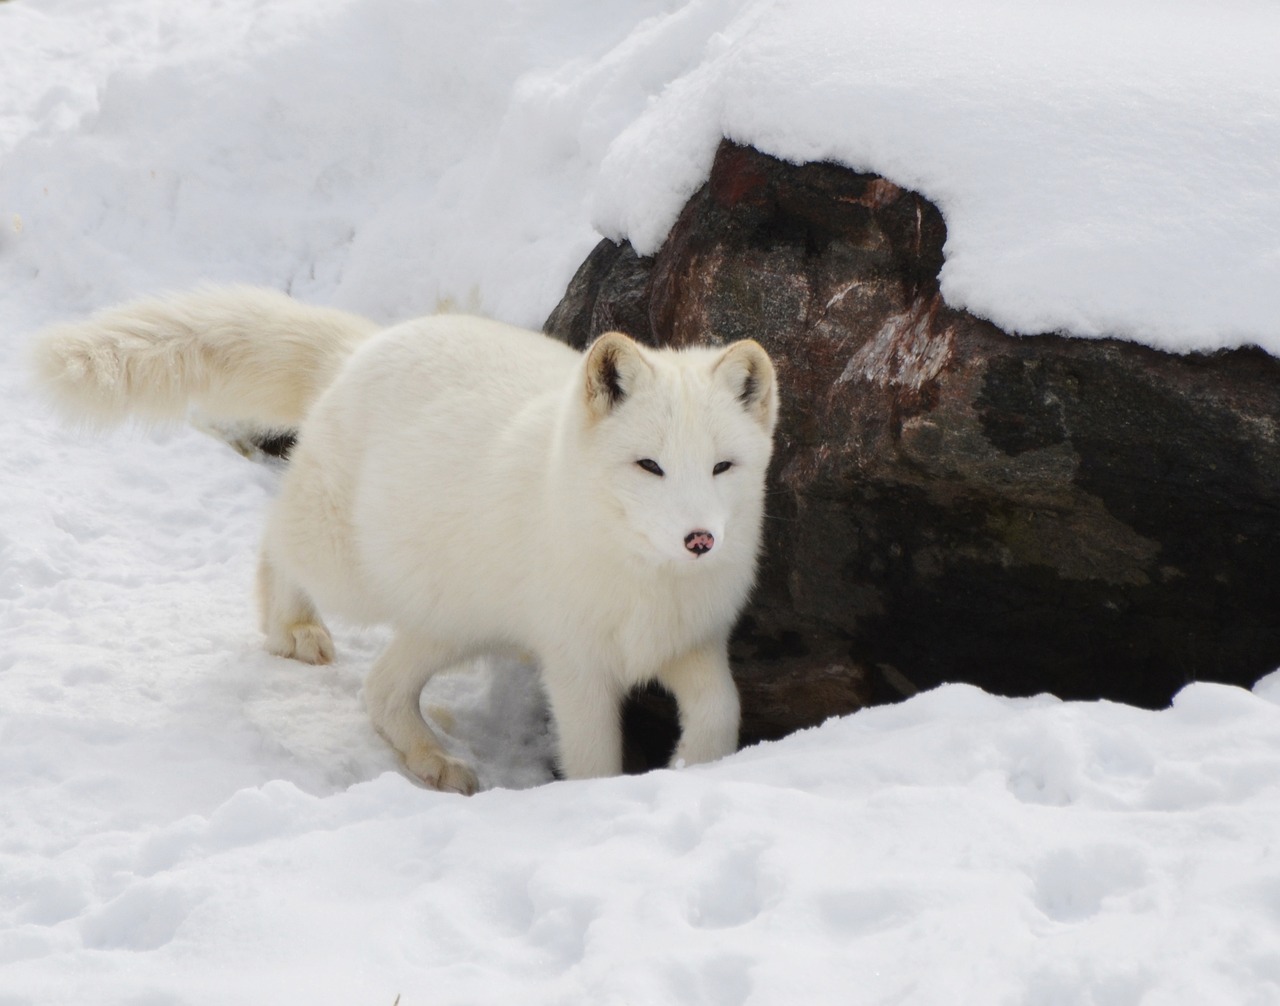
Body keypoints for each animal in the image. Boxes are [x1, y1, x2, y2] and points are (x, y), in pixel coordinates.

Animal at [31, 285, 779, 794]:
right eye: (649, 466)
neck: (646, 582)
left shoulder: (694, 643)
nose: (700, 539)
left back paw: (433, 759)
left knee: (382, 691)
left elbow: (722, 712)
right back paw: (292, 627)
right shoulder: (577, 667)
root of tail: (362, 349)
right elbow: (593, 761)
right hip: (352, 573)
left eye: (722, 467)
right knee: (276, 542)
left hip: (452, 620)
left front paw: (698, 769)